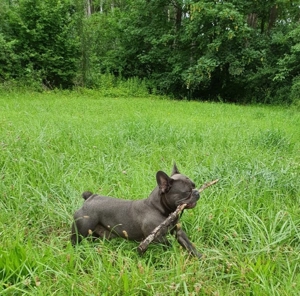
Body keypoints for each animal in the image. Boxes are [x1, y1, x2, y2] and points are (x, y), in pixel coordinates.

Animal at [70, 163, 202, 258]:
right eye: (186, 192)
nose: (196, 192)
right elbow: (169, 245)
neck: (159, 209)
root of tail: (89, 198)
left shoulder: (178, 232)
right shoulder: (158, 238)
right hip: (81, 231)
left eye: (194, 185)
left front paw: (200, 257)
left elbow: (189, 245)